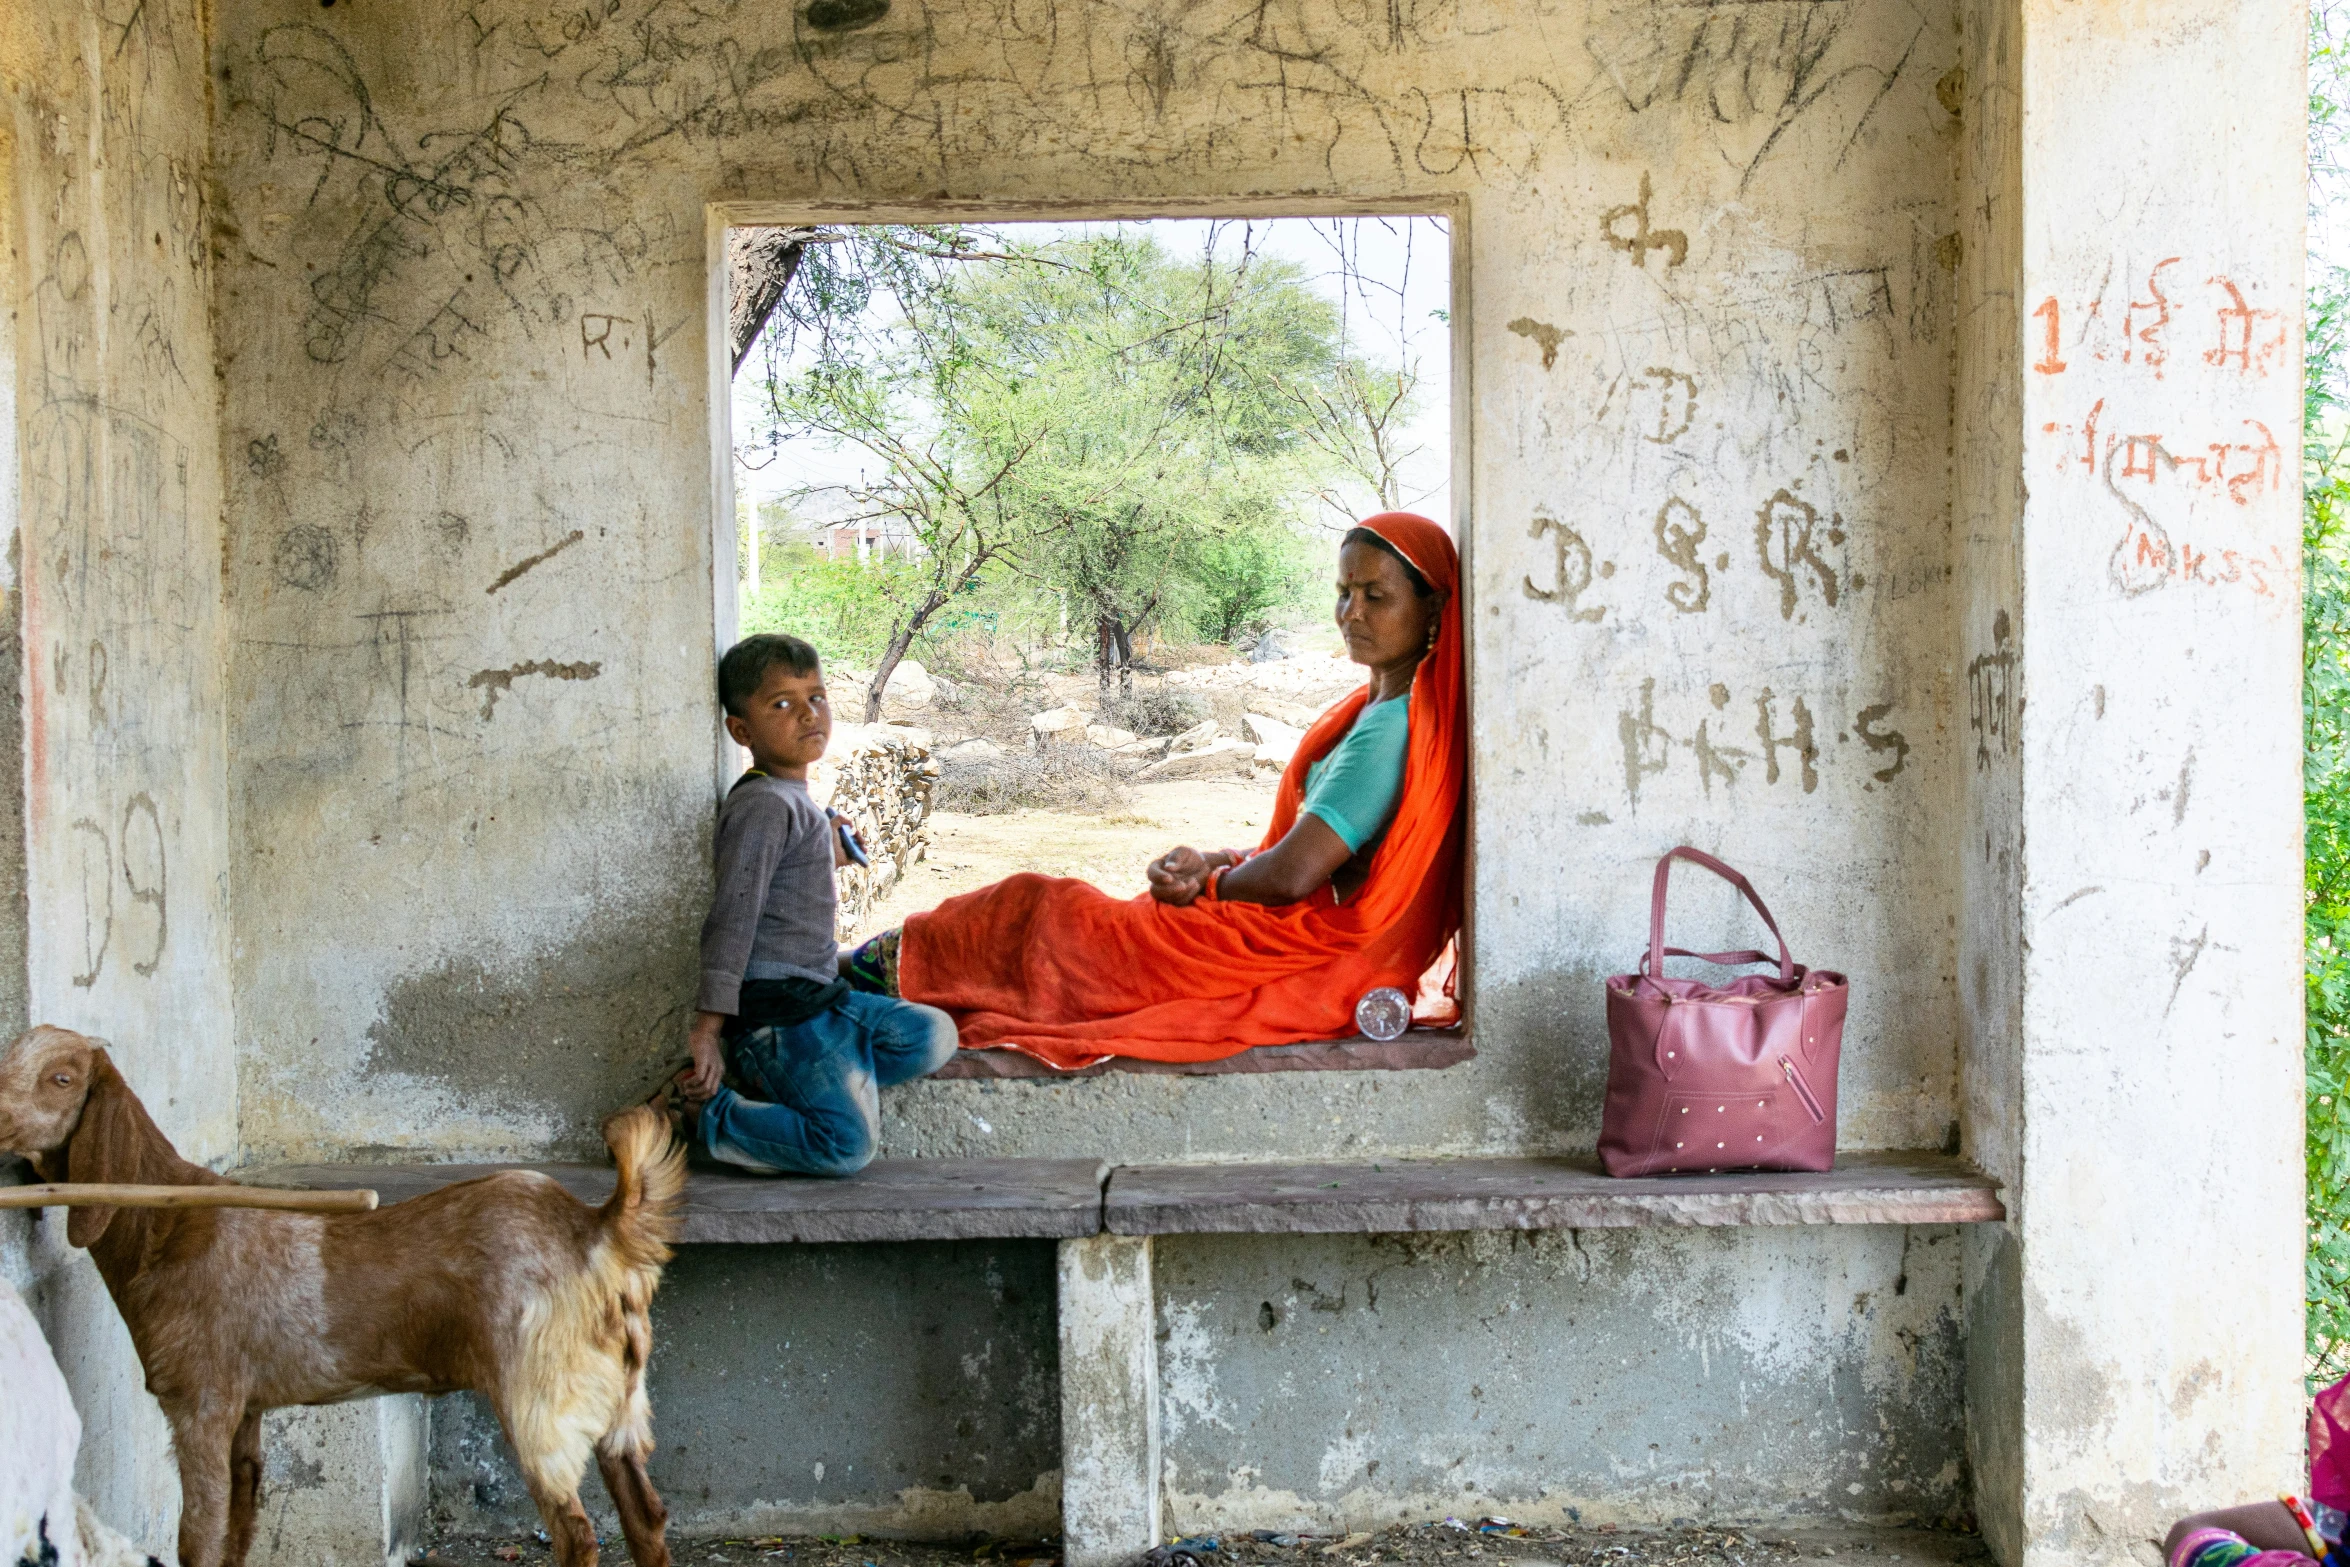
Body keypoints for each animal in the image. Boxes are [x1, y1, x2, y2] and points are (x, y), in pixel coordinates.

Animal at [2, 1029, 686, 1567]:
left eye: (62, 1078)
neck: (164, 1226)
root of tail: (595, 1227)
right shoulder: (245, 1412)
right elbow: (238, 1530)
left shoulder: (200, 1403)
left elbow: (198, 1540)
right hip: (620, 1400)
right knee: (645, 1516)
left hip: (540, 1398)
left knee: (576, 1533)